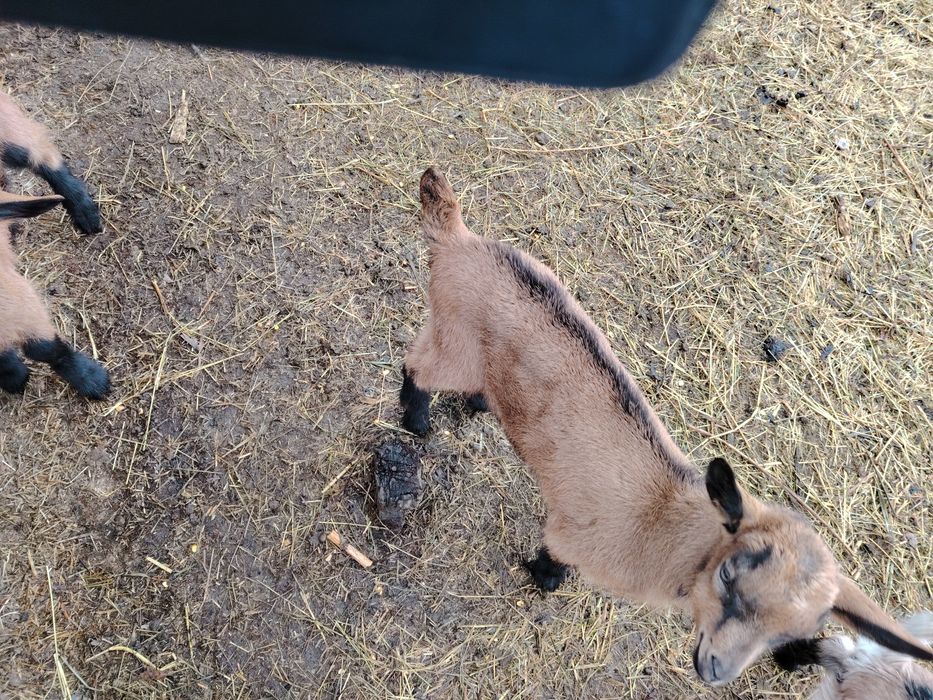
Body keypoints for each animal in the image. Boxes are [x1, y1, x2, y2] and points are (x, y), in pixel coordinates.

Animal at [400, 167, 933, 685]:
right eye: (728, 576)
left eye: (793, 633)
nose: (717, 671)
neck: (662, 524)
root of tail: (458, 238)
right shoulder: (572, 535)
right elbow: (554, 556)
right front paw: (543, 577)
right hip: (453, 342)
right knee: (416, 367)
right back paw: (416, 419)